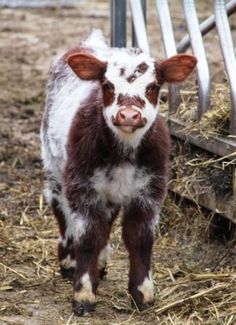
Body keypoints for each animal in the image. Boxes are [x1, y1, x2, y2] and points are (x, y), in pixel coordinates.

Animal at [41, 29, 197, 314]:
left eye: (153, 86)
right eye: (107, 85)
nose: (128, 115)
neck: (124, 152)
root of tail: (90, 42)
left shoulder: (150, 191)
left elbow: (139, 238)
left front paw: (143, 293)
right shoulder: (83, 188)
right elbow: (88, 236)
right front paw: (84, 294)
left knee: (107, 221)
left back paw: (101, 263)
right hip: (54, 165)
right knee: (60, 209)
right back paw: (68, 261)